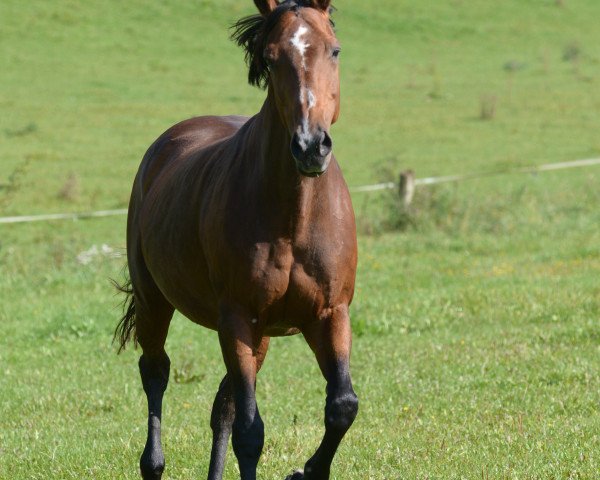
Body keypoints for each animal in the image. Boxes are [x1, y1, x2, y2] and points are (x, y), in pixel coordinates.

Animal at [116, 1, 358, 478]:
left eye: (334, 50)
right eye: (270, 57)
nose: (310, 146)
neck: (294, 217)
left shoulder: (329, 313)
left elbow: (342, 406)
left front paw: (306, 470)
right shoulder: (238, 318)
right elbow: (251, 431)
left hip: (260, 333)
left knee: (222, 407)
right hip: (157, 302)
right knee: (156, 372)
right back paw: (153, 463)